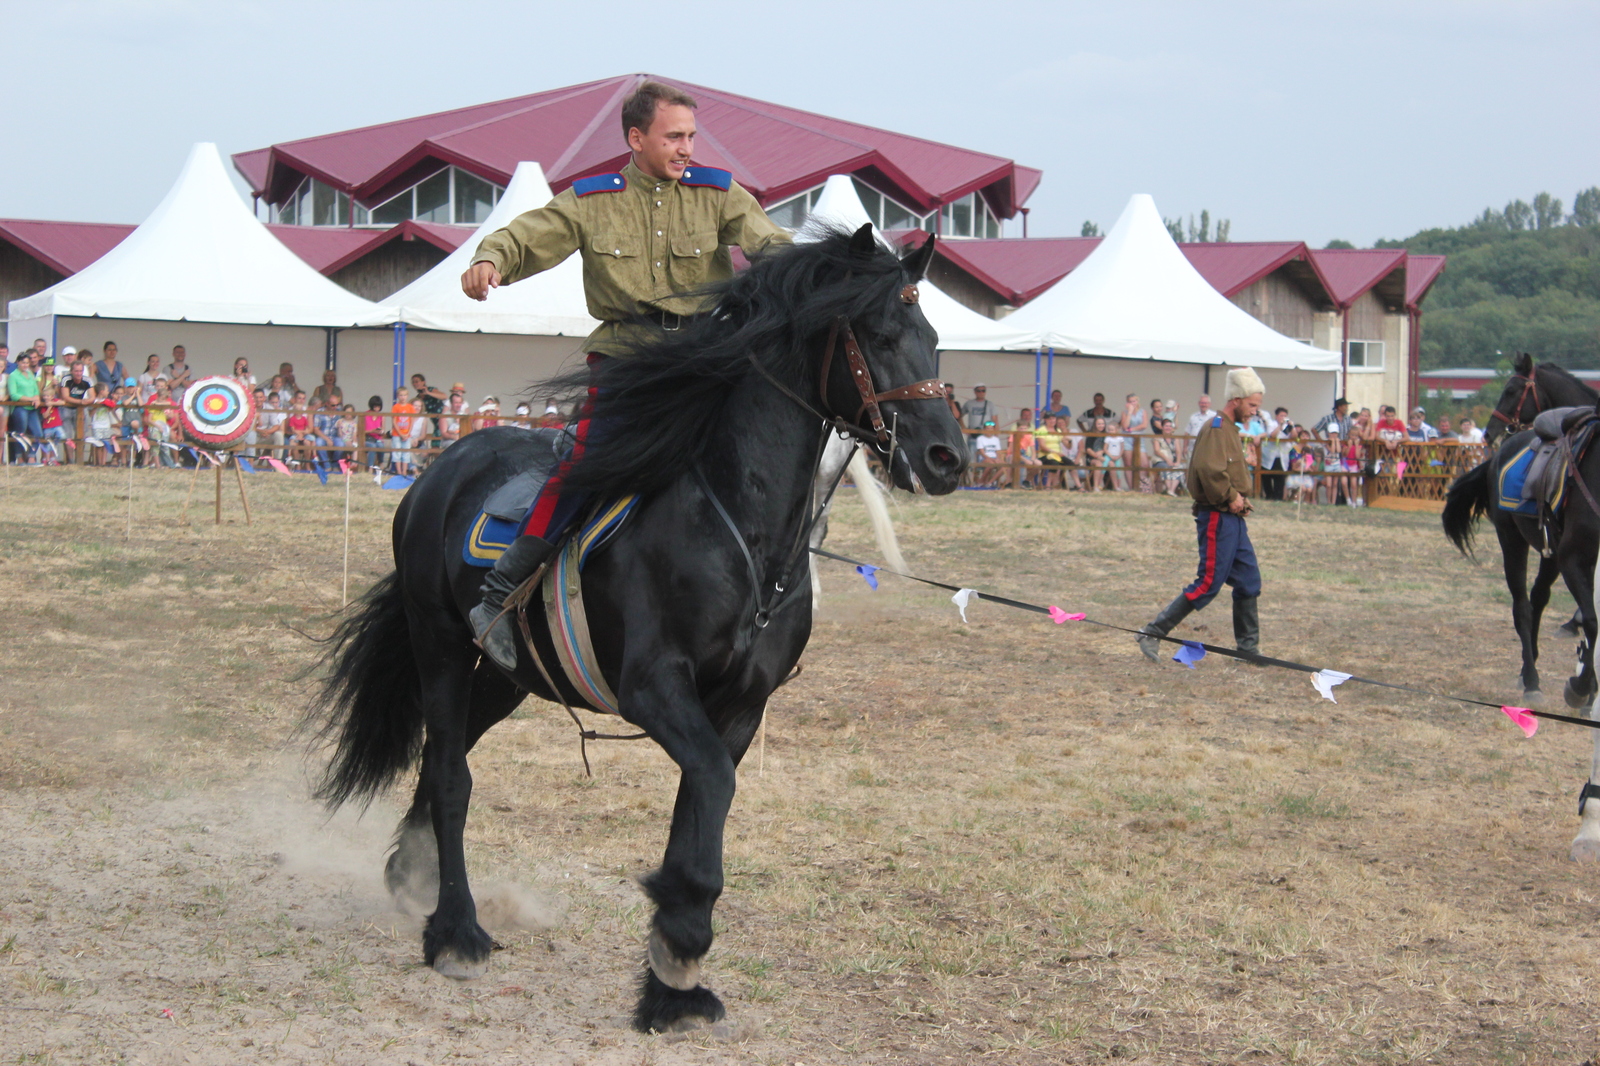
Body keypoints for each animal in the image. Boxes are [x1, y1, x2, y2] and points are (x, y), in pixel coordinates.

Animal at [307, 225, 966, 1030]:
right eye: (879, 335)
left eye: (932, 339)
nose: (946, 457)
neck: (737, 527)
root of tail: (444, 464)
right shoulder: (654, 690)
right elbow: (708, 788)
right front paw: (680, 939)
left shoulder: (739, 708)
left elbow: (701, 805)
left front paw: (672, 979)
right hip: (440, 647)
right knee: (452, 778)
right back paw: (455, 931)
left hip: (506, 676)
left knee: (442, 758)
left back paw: (411, 875)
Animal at [1446, 355, 1593, 704]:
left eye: (1511, 390)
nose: (1489, 431)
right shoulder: (1574, 556)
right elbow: (1591, 618)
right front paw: (1582, 687)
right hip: (1513, 541)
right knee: (1523, 606)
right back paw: (1531, 680)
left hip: (1549, 553)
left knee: (1538, 597)